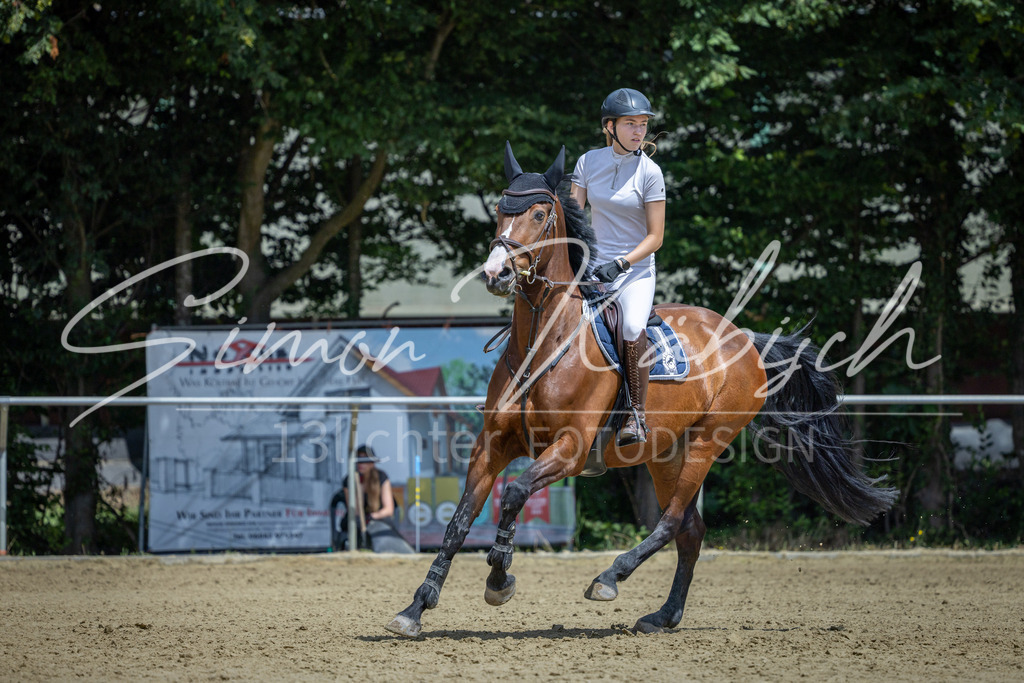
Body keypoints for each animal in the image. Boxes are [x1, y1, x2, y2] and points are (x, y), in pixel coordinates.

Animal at [385, 143, 897, 638]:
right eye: (498, 209)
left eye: (538, 213)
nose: (497, 274)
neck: (542, 341)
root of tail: (744, 337)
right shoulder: (491, 445)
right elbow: (459, 523)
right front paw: (415, 608)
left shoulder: (571, 449)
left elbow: (513, 493)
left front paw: (499, 575)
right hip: (666, 453)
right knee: (690, 530)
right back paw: (664, 615)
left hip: (707, 443)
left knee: (671, 522)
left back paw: (610, 578)